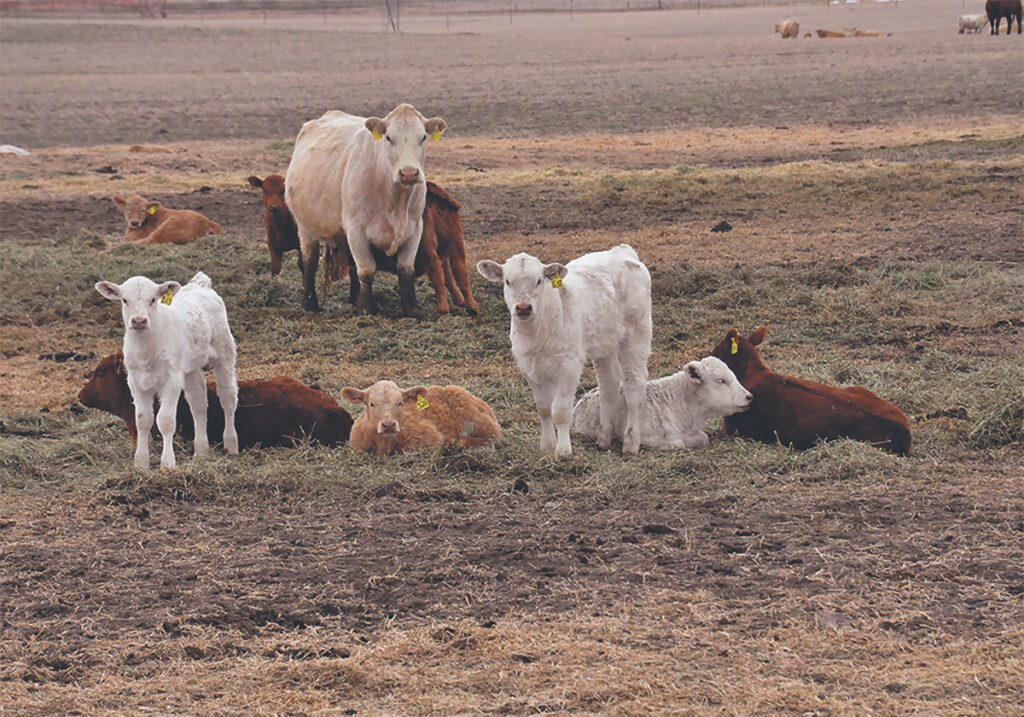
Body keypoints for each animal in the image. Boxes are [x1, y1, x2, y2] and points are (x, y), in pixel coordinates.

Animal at [94, 272, 238, 470]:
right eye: (124, 300)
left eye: (153, 299)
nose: (139, 321)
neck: (146, 350)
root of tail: (200, 284)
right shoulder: (136, 382)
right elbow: (142, 420)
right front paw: (141, 463)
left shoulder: (171, 380)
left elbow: (166, 420)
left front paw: (167, 464)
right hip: (189, 366)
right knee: (198, 401)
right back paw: (201, 451)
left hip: (225, 351)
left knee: (227, 397)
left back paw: (231, 445)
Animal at [285, 104, 447, 316]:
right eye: (388, 137)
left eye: (423, 137)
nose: (409, 172)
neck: (395, 200)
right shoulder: (357, 231)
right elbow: (367, 271)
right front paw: (366, 309)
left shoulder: (415, 229)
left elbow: (406, 270)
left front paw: (412, 308)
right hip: (305, 227)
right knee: (309, 262)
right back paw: (310, 303)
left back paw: (354, 298)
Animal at [341, 380, 500, 456]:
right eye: (372, 403)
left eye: (400, 402)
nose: (389, 425)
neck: (384, 444)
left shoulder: (431, 437)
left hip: (478, 420)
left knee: (492, 437)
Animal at [477, 244, 652, 457]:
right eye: (508, 281)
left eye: (539, 281)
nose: (523, 307)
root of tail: (622, 251)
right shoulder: (529, 368)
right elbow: (543, 409)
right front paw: (547, 445)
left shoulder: (569, 365)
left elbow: (560, 411)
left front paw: (563, 450)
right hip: (604, 342)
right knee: (609, 383)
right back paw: (604, 438)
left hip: (637, 334)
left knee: (634, 385)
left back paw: (631, 442)